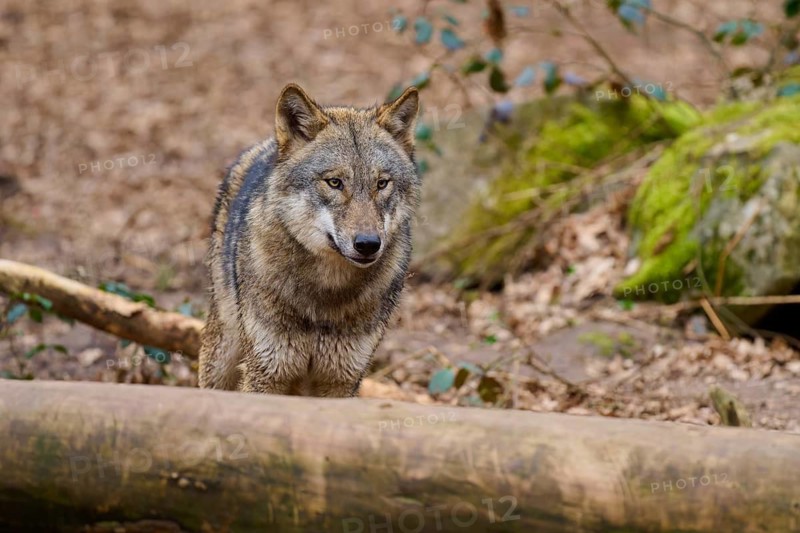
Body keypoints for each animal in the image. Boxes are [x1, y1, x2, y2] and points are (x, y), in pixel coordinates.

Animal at [199, 83, 420, 397]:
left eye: (381, 184)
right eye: (335, 182)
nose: (368, 244)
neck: (326, 292)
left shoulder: (342, 380)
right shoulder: (266, 373)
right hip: (222, 355)